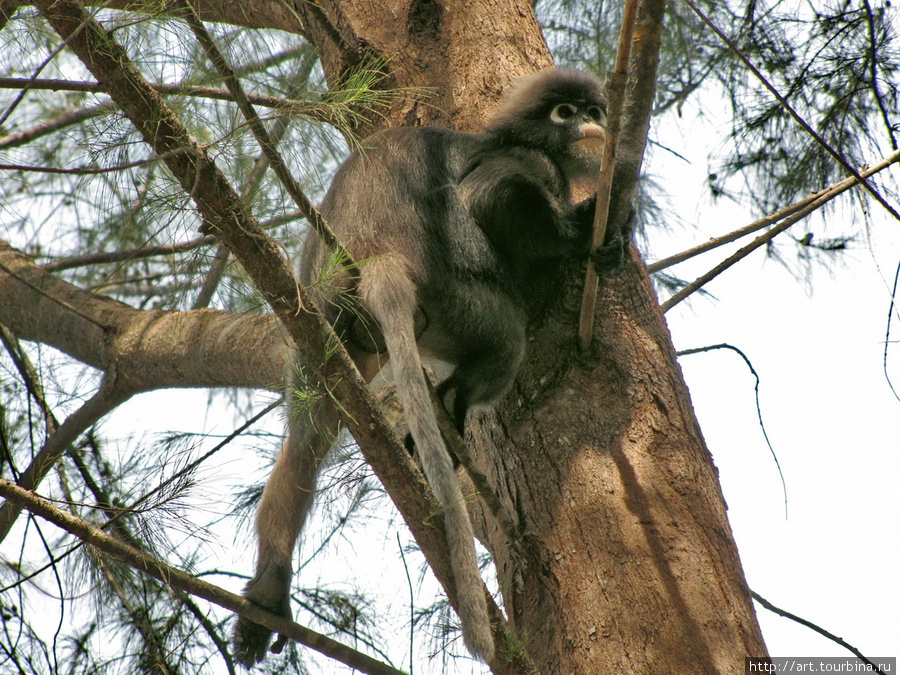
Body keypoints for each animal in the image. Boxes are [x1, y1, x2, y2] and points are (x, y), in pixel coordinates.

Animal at [236, 66, 624, 668]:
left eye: (595, 111)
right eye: (565, 112)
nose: (590, 123)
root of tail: (380, 258)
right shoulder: (523, 161)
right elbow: (493, 191)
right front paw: (586, 237)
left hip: (321, 324)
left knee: (306, 439)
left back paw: (269, 588)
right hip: (459, 298)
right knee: (505, 333)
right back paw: (451, 404)